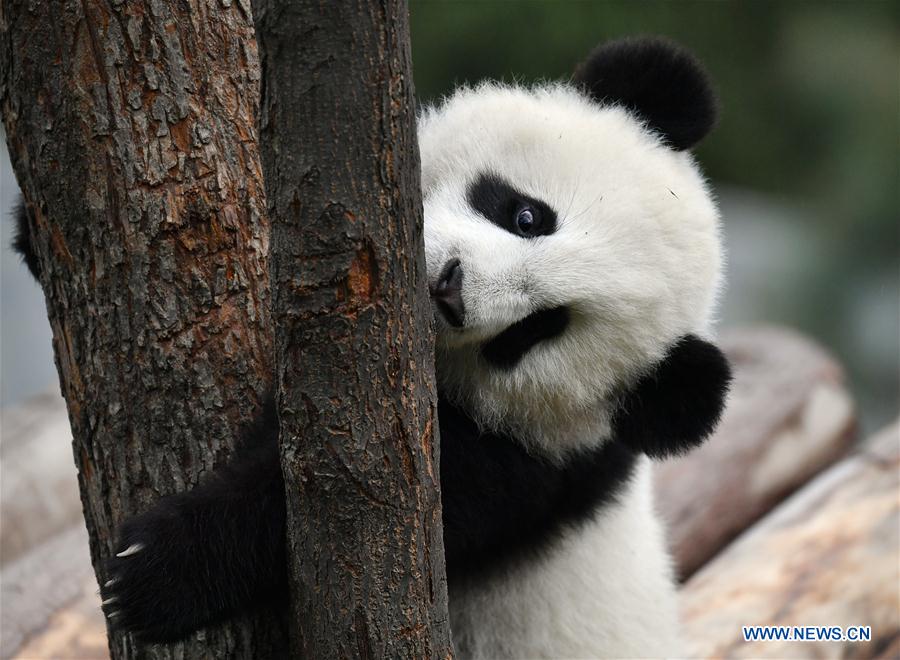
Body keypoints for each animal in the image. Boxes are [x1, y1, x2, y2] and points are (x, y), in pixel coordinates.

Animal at [14, 37, 730, 658]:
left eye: (539, 328)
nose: (450, 289)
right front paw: (33, 229)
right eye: (528, 215)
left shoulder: (518, 473)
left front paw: (155, 571)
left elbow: (320, 511)